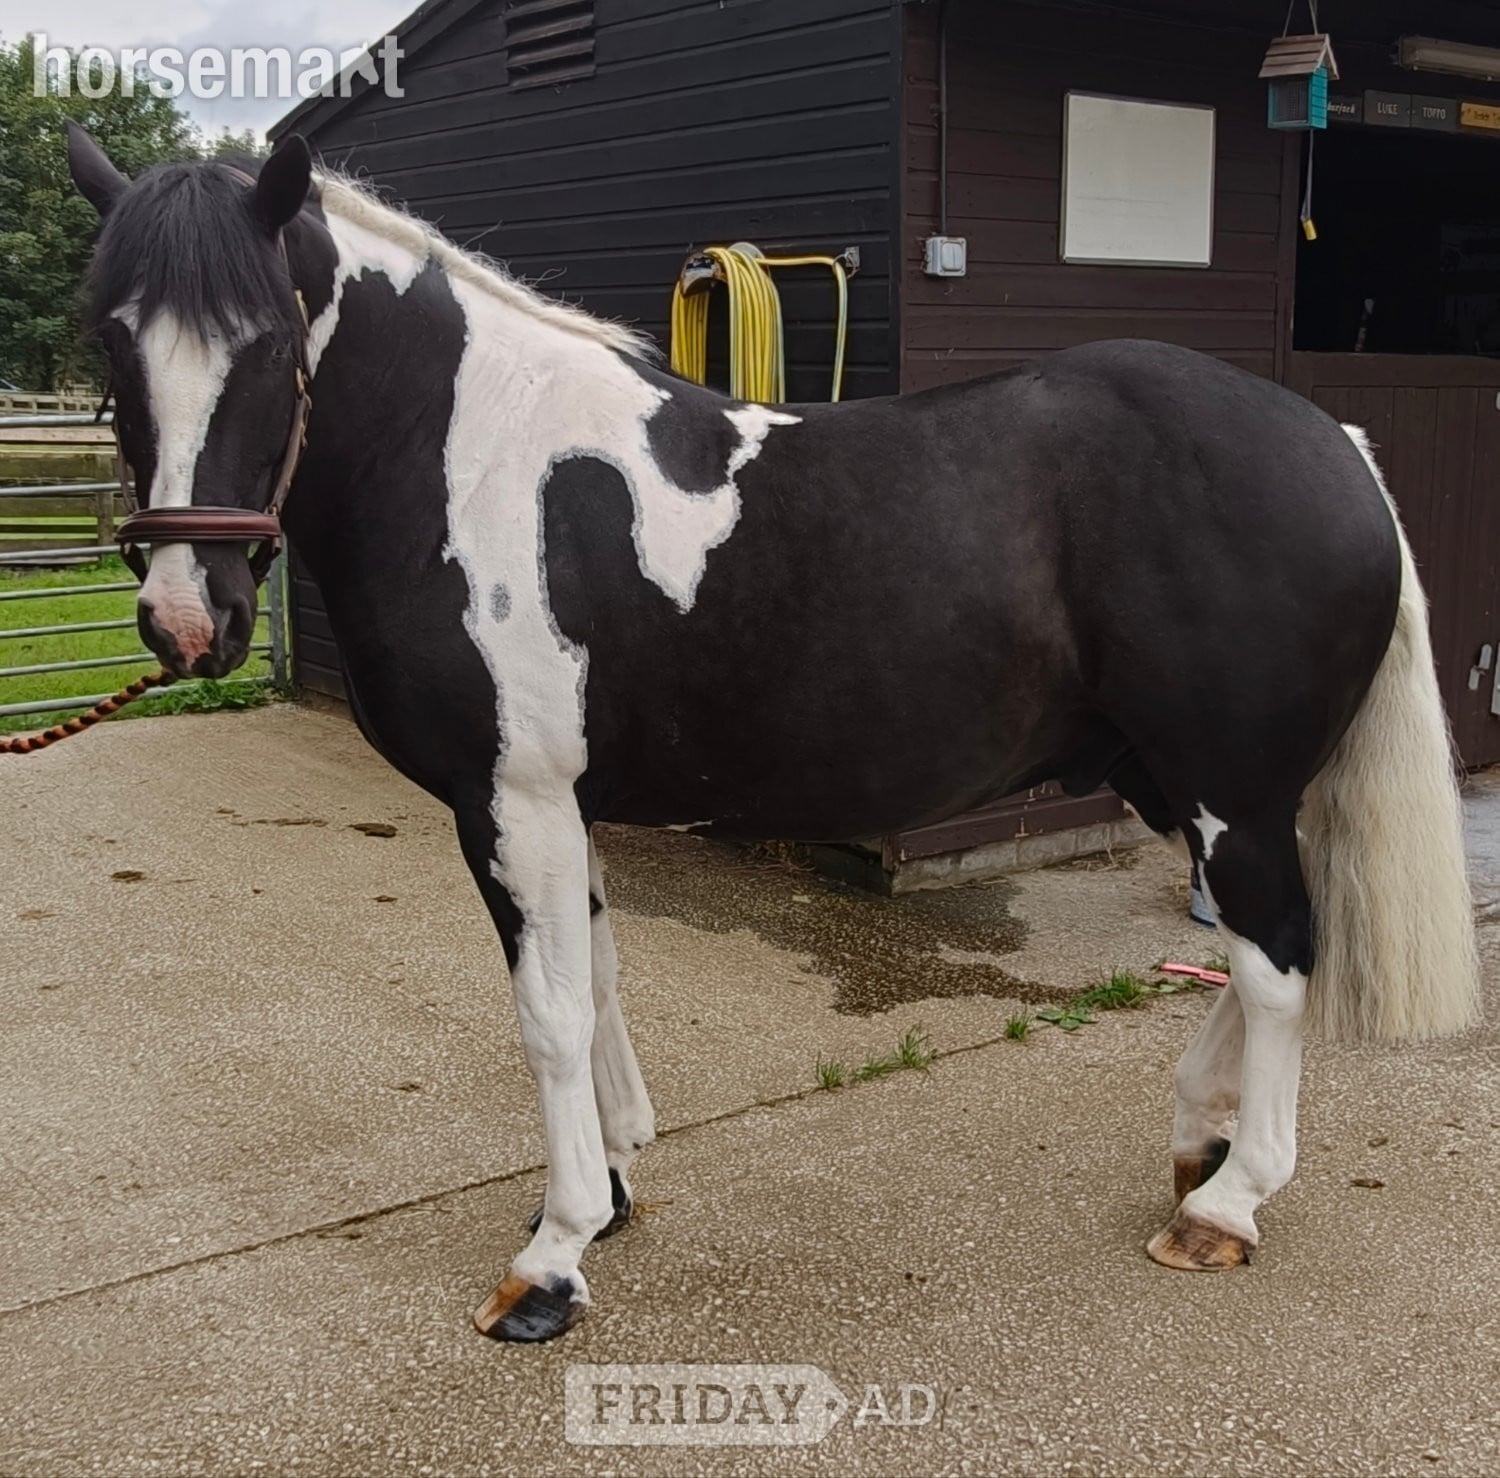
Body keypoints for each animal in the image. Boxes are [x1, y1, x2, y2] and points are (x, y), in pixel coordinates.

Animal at [65, 125, 1479, 1343]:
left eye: (268, 337)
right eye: (110, 341)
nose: (189, 618)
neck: (474, 458)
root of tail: (1340, 444)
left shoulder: (509, 799)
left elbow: (548, 1014)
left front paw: (551, 1262)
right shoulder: (561, 804)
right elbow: (599, 982)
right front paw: (610, 1190)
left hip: (1232, 787)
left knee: (1277, 959)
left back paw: (1230, 1203)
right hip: (1180, 781)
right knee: (1263, 949)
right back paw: (1202, 1143)